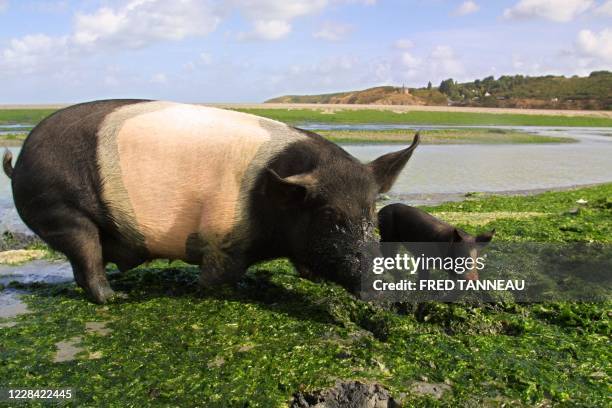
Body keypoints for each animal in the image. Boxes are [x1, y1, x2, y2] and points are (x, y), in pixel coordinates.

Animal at [2, 99, 418, 302]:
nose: (385, 290)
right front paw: (213, 290)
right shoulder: (222, 240)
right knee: (86, 257)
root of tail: (19, 162)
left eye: (373, 212)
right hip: (60, 209)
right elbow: (219, 276)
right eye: (331, 215)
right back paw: (115, 298)